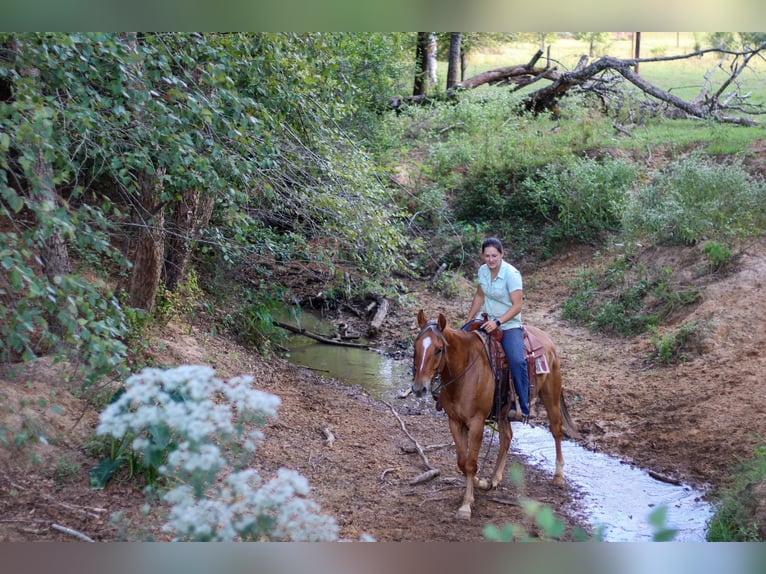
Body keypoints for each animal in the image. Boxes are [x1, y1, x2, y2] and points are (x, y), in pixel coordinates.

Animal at [412, 310, 580, 520]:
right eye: (415, 346)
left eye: (438, 349)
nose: (419, 388)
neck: (465, 370)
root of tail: (547, 338)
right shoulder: (455, 421)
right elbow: (462, 462)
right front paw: (478, 483)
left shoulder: (476, 422)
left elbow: (470, 463)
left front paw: (466, 505)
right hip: (502, 411)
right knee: (506, 438)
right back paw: (494, 479)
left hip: (551, 395)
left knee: (556, 429)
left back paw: (558, 476)